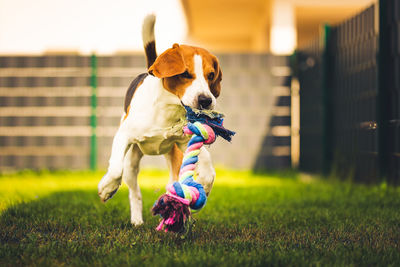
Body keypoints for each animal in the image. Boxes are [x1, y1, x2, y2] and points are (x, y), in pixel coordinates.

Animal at [97, 14, 222, 226]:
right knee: (134, 192)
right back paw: (137, 220)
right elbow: (115, 170)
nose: (206, 100)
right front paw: (107, 188)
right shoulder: (123, 136)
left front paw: (204, 184)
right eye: (185, 74)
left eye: (211, 75)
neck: (168, 109)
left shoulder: (184, 141)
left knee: (173, 183)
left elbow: (207, 164)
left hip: (174, 157)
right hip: (132, 163)